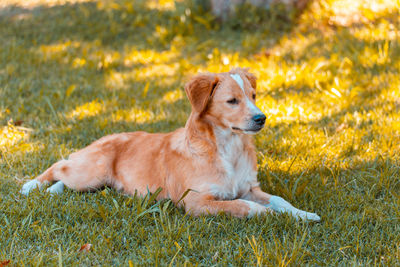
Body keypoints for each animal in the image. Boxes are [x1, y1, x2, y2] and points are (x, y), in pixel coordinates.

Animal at [21, 68, 320, 222]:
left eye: (254, 96)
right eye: (232, 101)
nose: (261, 118)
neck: (227, 149)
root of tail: (105, 137)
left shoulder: (249, 187)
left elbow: (279, 199)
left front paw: (303, 214)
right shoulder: (195, 201)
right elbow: (243, 206)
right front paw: (268, 214)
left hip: (95, 182)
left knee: (65, 178)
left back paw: (53, 190)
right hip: (91, 172)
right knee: (60, 165)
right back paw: (31, 185)